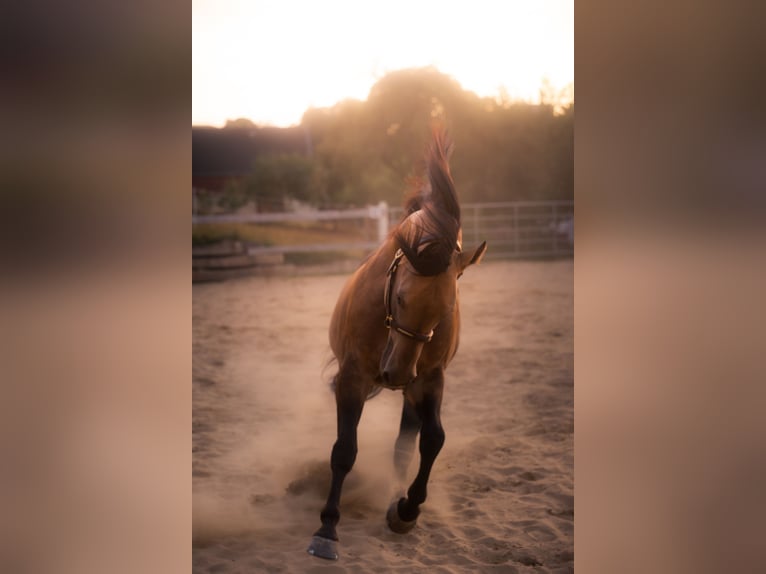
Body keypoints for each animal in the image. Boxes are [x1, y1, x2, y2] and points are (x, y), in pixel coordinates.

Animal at [307, 126, 487, 560]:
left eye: (446, 312)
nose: (398, 373)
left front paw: (406, 509)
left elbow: (432, 440)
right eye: (402, 298)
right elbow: (344, 450)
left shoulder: (430, 379)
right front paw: (327, 529)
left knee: (405, 444)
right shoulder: (353, 378)